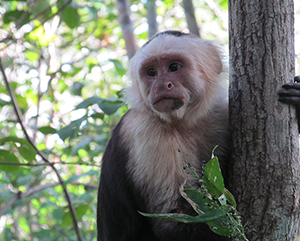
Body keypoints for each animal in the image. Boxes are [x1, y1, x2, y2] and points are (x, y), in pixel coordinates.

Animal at [97, 30, 298, 241]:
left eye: (174, 67)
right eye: (151, 72)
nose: (161, 86)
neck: (183, 122)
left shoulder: (221, 112)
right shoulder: (146, 132)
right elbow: (172, 218)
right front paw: (234, 228)